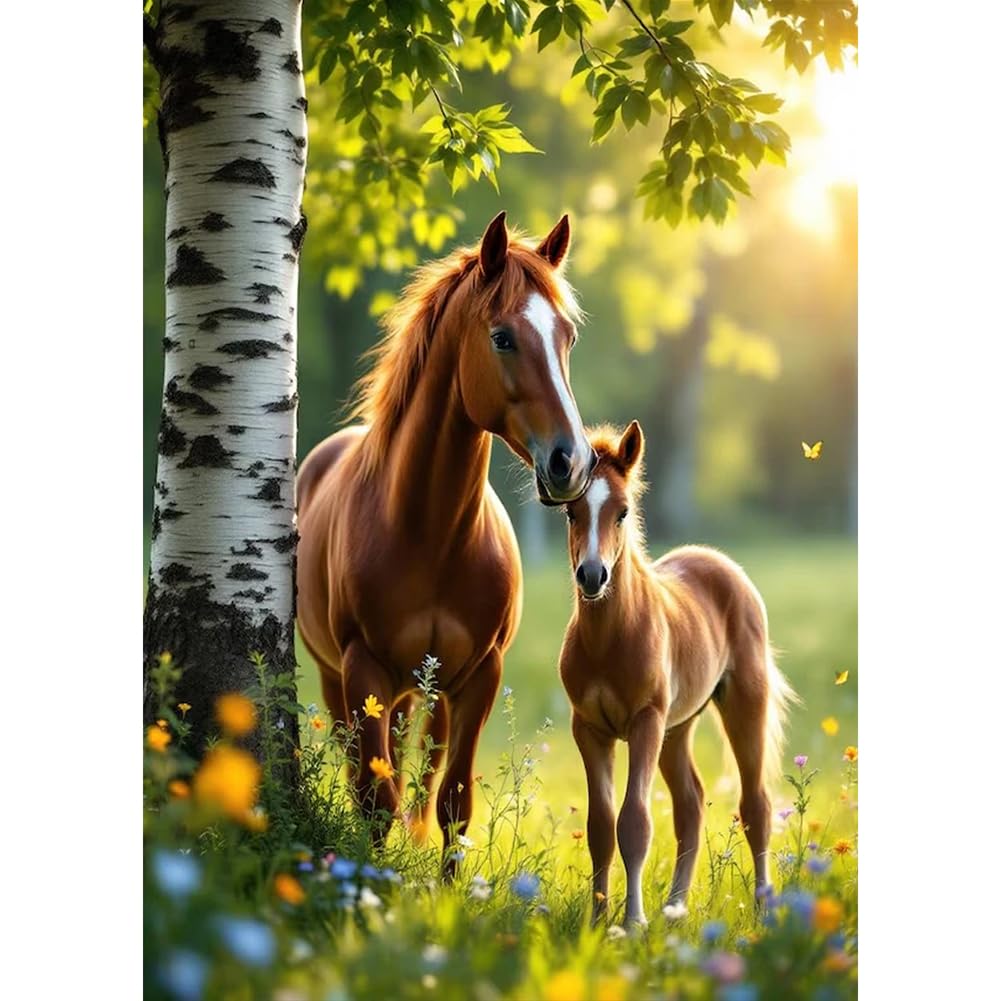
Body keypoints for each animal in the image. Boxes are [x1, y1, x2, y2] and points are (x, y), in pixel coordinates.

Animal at [296, 212, 595, 870]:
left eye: (567, 337)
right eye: (502, 337)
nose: (572, 462)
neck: (430, 535)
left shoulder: (479, 675)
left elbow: (453, 802)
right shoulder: (363, 670)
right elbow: (374, 799)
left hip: (426, 694)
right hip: (346, 682)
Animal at [558, 421, 797, 925]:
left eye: (623, 512)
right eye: (571, 512)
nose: (592, 575)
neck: (610, 639)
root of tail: (718, 561)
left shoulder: (645, 721)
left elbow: (634, 822)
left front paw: (631, 923)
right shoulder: (589, 729)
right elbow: (600, 826)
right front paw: (596, 922)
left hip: (742, 705)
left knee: (756, 805)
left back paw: (763, 911)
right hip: (678, 727)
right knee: (690, 807)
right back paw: (674, 908)